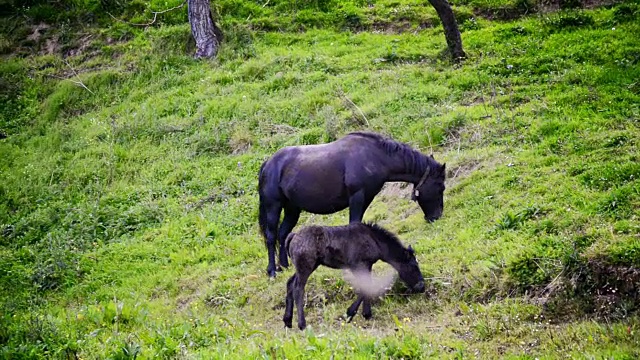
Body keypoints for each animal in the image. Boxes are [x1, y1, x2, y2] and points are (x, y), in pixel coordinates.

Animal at [282, 222, 422, 330]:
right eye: (414, 266)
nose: (422, 287)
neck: (374, 240)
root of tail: (293, 235)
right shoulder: (357, 266)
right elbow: (364, 287)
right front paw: (349, 314)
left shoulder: (367, 266)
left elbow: (368, 286)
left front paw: (366, 314)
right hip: (306, 267)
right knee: (298, 289)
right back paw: (302, 324)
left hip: (307, 266)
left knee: (290, 283)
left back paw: (287, 321)